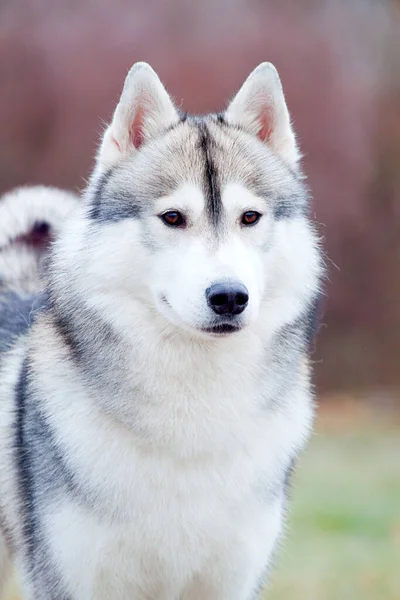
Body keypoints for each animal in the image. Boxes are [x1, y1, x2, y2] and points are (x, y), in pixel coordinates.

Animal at [0, 62, 322, 600]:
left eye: (250, 217)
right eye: (173, 217)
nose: (229, 296)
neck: (195, 412)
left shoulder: (232, 581)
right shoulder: (70, 580)